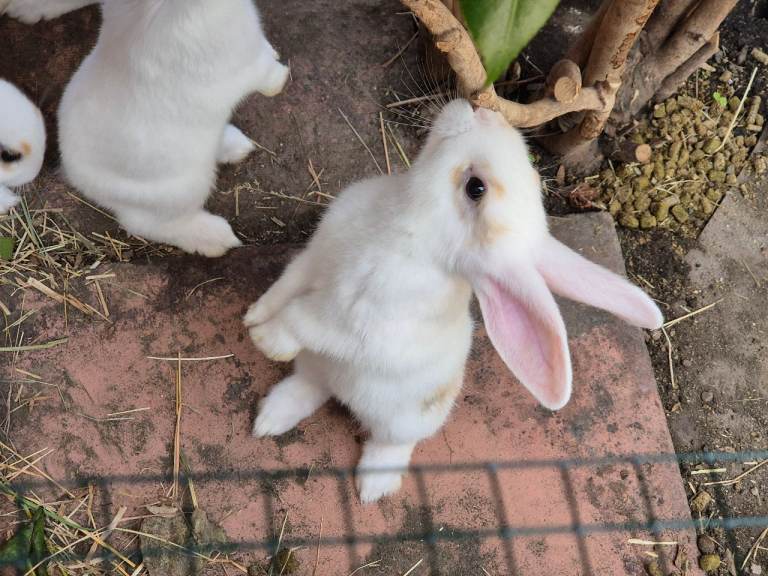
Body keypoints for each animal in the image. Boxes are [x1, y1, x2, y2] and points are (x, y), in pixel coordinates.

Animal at [58, 0, 289, 257]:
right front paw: (281, 78)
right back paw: (216, 239)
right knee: (148, 224)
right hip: (183, 189)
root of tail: (76, 175)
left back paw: (236, 147)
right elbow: (267, 74)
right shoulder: (249, 63)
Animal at [243, 99, 664, 503]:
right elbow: (285, 288)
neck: (406, 222)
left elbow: (302, 319)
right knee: (310, 386)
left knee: (391, 442)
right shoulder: (314, 259)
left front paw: (266, 342)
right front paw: (252, 319)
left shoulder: (360, 323)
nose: (485, 111)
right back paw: (269, 419)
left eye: (476, 188)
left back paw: (372, 487)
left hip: (404, 419)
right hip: (317, 366)